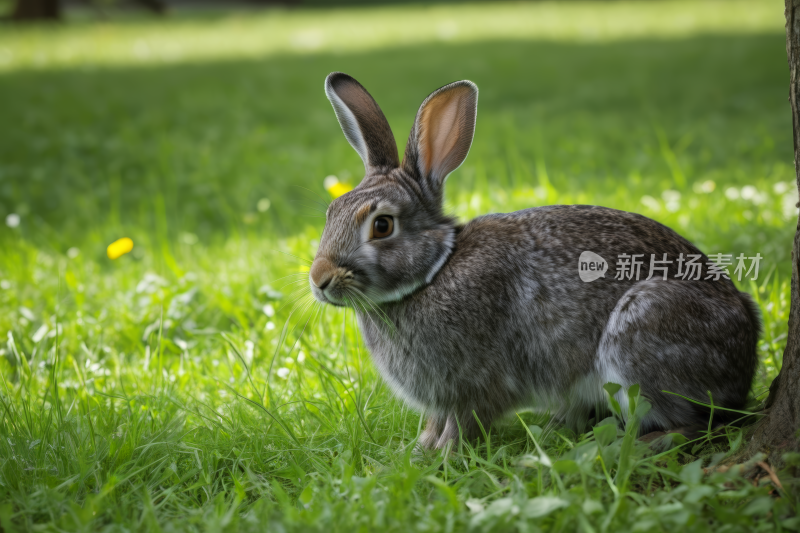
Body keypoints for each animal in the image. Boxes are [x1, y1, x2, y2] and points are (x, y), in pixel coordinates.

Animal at [310, 69, 760, 444]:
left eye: (383, 226)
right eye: (331, 212)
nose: (319, 279)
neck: (435, 271)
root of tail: (747, 352)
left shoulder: (478, 384)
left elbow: (463, 425)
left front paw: (442, 456)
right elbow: (436, 424)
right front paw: (418, 451)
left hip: (644, 329)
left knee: (696, 422)